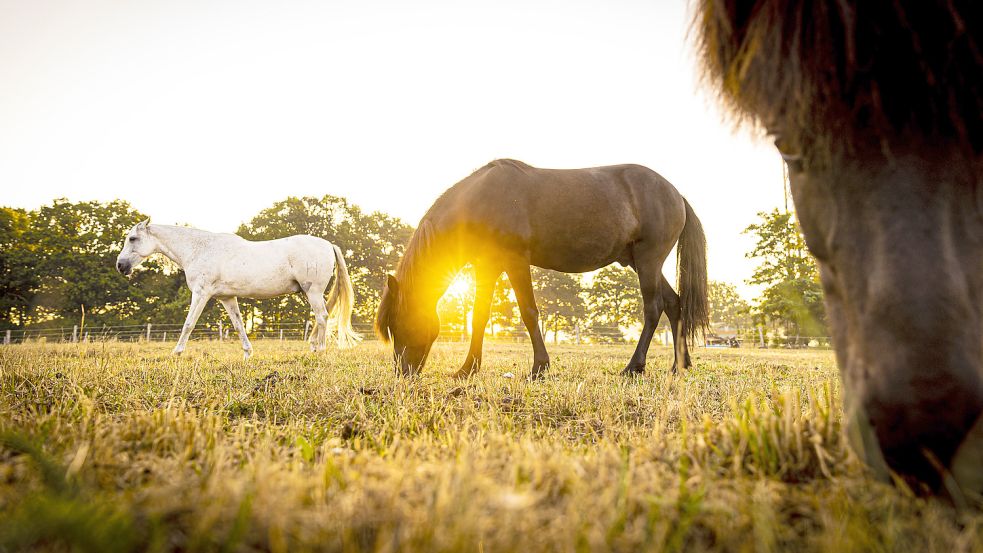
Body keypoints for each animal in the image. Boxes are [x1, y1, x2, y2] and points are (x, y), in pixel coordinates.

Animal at [116, 220, 362, 358]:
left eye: (132, 238)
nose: (120, 266)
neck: (199, 249)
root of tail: (328, 244)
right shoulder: (227, 298)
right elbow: (239, 326)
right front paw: (247, 353)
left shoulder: (201, 294)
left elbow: (188, 324)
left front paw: (176, 353)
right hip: (311, 293)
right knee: (322, 317)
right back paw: (313, 347)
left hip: (313, 292)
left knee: (322, 317)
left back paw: (320, 351)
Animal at [374, 157, 708, 378]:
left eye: (398, 323)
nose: (403, 372)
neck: (481, 202)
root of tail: (676, 193)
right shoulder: (488, 267)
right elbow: (479, 317)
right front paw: (467, 369)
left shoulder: (516, 262)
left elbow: (529, 312)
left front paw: (539, 367)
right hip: (641, 262)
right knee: (674, 303)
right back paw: (679, 365)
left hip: (649, 259)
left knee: (653, 308)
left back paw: (634, 367)